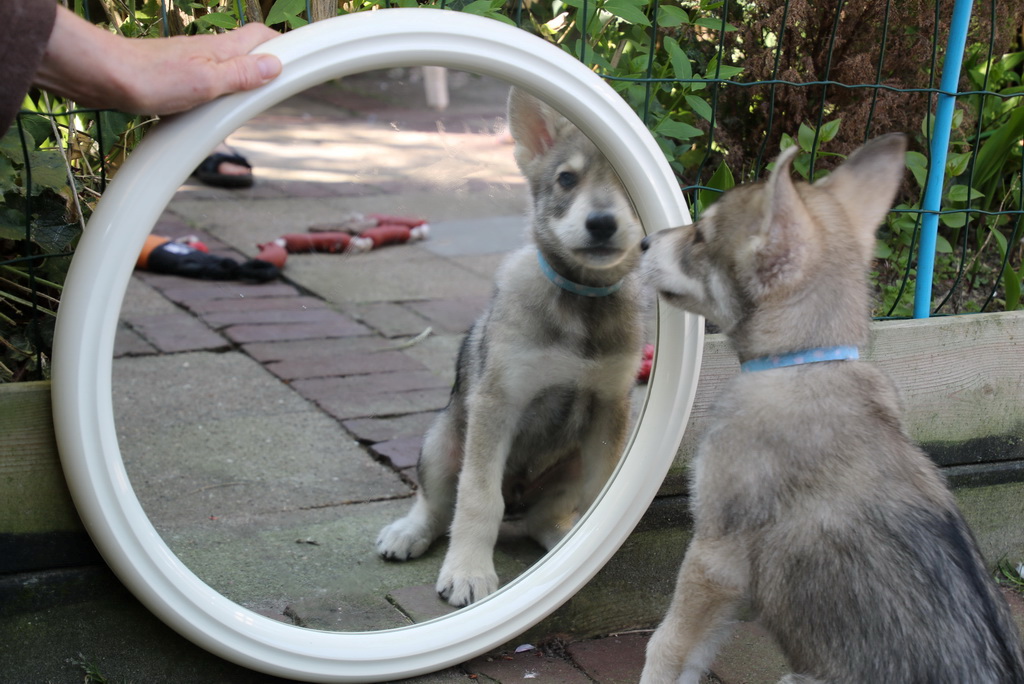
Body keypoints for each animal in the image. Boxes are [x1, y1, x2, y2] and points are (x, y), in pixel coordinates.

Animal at [376, 87, 645, 607]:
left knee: (546, 517)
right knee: (436, 505)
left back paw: (564, 542)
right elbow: (478, 499)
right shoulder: (497, 405)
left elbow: (600, 493)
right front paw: (468, 572)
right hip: (442, 441)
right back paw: (407, 533)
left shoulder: (609, 409)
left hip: (566, 467)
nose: (602, 223)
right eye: (566, 179)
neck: (580, 307)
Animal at [639, 134, 1024, 683]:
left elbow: (667, 647)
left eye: (701, 236)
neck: (806, 362)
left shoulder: (715, 557)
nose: (643, 242)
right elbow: (696, 653)